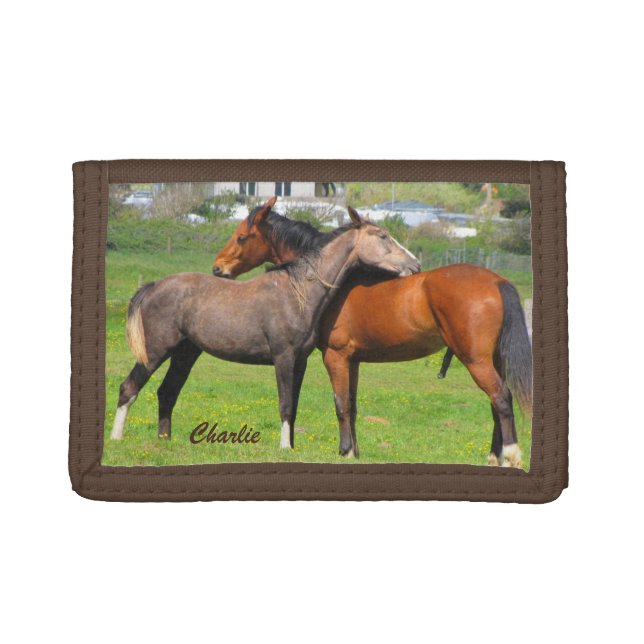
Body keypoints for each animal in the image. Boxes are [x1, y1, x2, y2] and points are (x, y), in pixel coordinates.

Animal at [110, 207, 420, 450]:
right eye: (382, 236)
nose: (415, 264)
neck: (297, 292)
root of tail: (153, 286)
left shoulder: (300, 362)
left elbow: (293, 405)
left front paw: (292, 447)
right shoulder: (283, 357)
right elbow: (284, 404)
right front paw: (284, 448)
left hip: (185, 353)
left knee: (167, 393)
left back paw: (164, 442)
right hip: (155, 352)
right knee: (129, 388)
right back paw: (116, 439)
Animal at [213, 198, 532, 467]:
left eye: (241, 237)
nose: (218, 268)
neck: (336, 282)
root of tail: (497, 281)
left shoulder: (335, 357)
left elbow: (340, 404)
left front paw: (344, 451)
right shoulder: (353, 360)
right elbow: (352, 405)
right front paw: (354, 451)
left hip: (476, 360)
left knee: (501, 398)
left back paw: (511, 456)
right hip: (493, 360)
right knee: (496, 404)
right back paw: (495, 457)